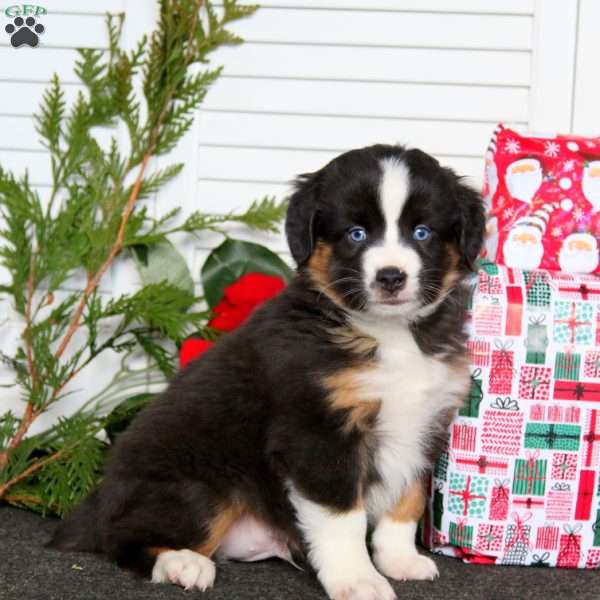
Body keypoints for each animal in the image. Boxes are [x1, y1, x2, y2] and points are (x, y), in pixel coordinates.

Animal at [48, 143, 488, 596]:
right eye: (356, 234)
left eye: (422, 233)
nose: (391, 277)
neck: (391, 334)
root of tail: (100, 497)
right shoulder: (318, 433)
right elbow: (342, 520)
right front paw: (357, 580)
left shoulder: (425, 425)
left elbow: (407, 501)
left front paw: (399, 559)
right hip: (202, 484)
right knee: (122, 539)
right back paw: (182, 564)